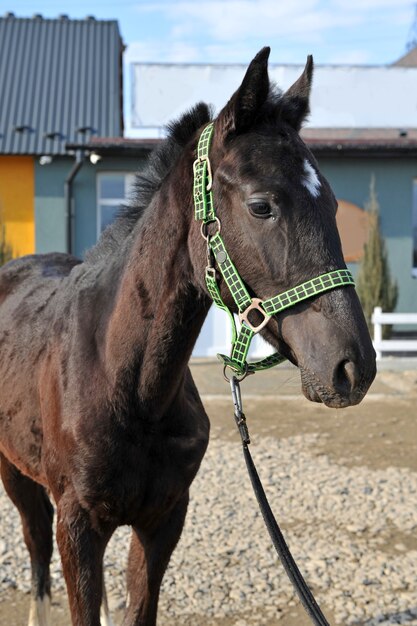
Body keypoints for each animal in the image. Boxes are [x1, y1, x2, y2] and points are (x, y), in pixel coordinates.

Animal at [0, 48, 376, 624]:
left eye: (333, 204)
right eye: (262, 205)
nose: (353, 366)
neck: (130, 388)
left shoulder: (164, 521)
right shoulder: (77, 527)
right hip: (14, 470)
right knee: (36, 546)